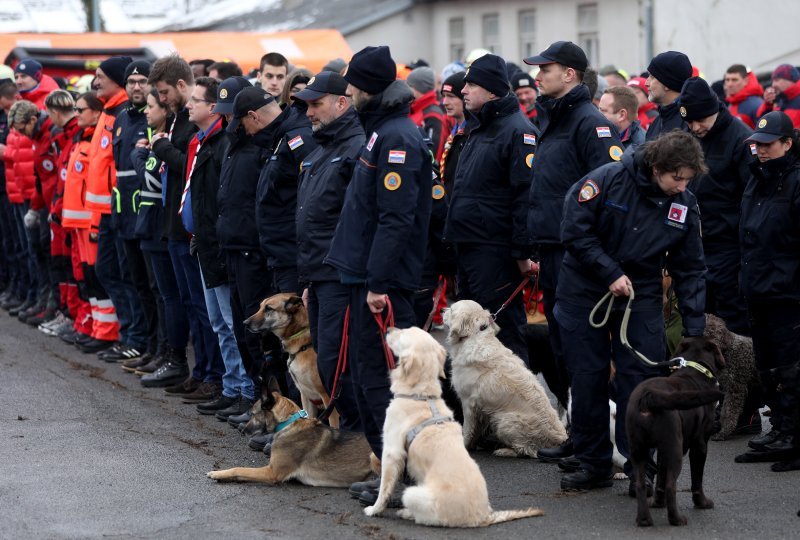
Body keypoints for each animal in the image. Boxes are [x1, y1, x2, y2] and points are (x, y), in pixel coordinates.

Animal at [209, 378, 378, 488]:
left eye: (253, 414)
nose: (243, 431)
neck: (288, 423)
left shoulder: (272, 472)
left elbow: (239, 468)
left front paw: (217, 473)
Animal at [242, 294, 336, 428]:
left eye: (268, 308)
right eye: (260, 307)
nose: (245, 323)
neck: (302, 346)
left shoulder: (328, 398)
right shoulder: (306, 396)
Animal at [364, 324, 544, 528]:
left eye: (404, 333)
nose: (388, 329)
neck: (421, 395)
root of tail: (484, 516)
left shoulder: (391, 451)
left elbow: (384, 489)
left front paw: (374, 509)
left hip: (412, 494)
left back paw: (406, 513)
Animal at [444, 302, 568, 458]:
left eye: (451, 309)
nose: (442, 311)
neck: (475, 336)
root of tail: (559, 439)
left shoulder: (468, 402)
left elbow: (467, 428)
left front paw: (465, 444)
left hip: (505, 420)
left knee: (526, 450)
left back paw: (505, 450)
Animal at [628, 338, 728, 528]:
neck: (694, 369)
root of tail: (649, 397)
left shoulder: (662, 450)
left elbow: (660, 477)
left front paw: (658, 503)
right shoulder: (699, 444)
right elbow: (697, 479)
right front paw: (702, 503)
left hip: (639, 450)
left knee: (641, 485)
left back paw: (644, 519)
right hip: (674, 448)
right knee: (671, 485)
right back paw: (676, 519)